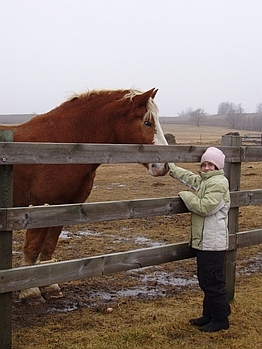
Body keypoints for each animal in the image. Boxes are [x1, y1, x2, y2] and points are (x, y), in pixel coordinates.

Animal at [1, 87, 169, 302]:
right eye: (147, 122)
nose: (163, 166)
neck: (64, 145)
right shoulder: (39, 207)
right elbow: (32, 247)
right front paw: (30, 291)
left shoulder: (65, 206)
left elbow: (48, 246)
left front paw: (49, 287)